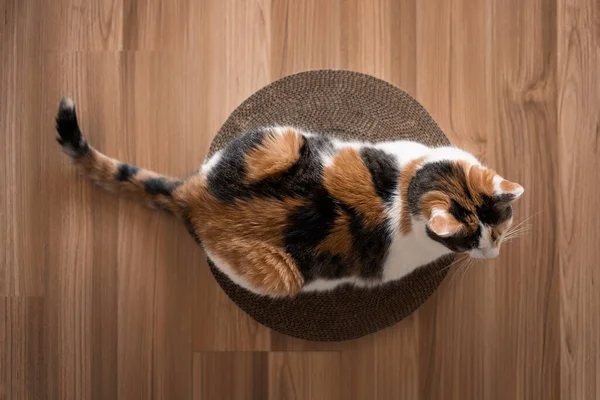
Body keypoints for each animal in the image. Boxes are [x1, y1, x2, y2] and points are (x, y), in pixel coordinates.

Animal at [56, 97, 524, 296]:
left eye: (499, 227)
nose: (494, 254)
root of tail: (195, 196)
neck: (407, 187)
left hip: (277, 140)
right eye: (470, 241)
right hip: (279, 274)